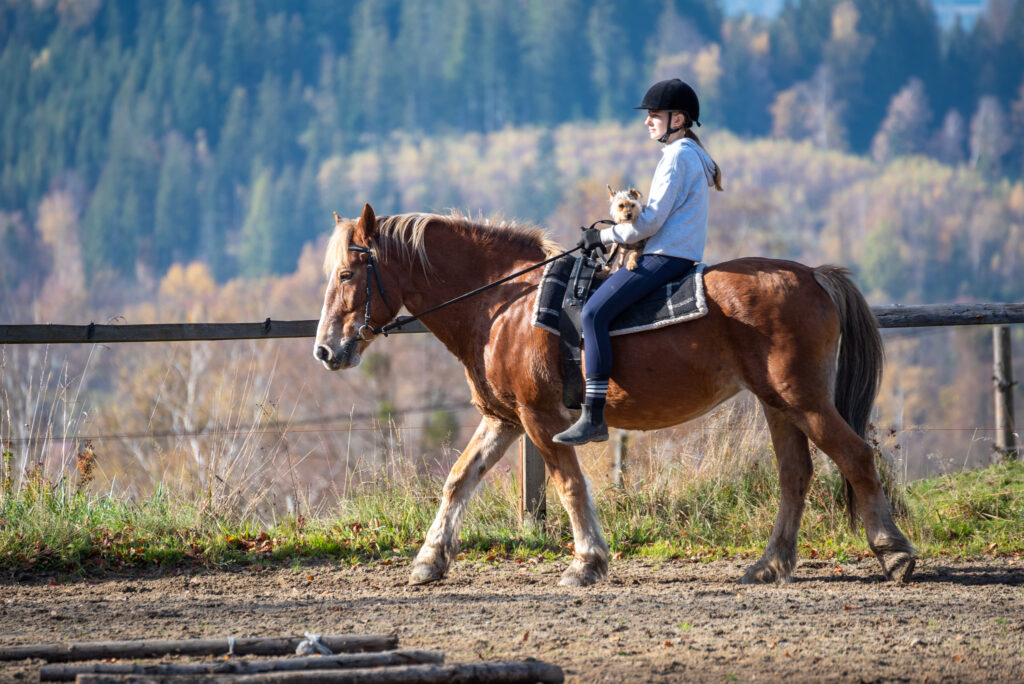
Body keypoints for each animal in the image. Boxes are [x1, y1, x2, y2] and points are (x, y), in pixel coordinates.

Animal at [315, 202, 917, 589]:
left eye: (347, 274)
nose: (325, 350)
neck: (505, 306)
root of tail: (814, 276)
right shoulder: (503, 418)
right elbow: (459, 480)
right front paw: (429, 561)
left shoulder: (539, 419)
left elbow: (569, 486)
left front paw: (586, 563)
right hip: (778, 405)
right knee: (795, 476)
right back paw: (769, 566)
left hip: (804, 400)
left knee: (856, 457)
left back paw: (894, 553)